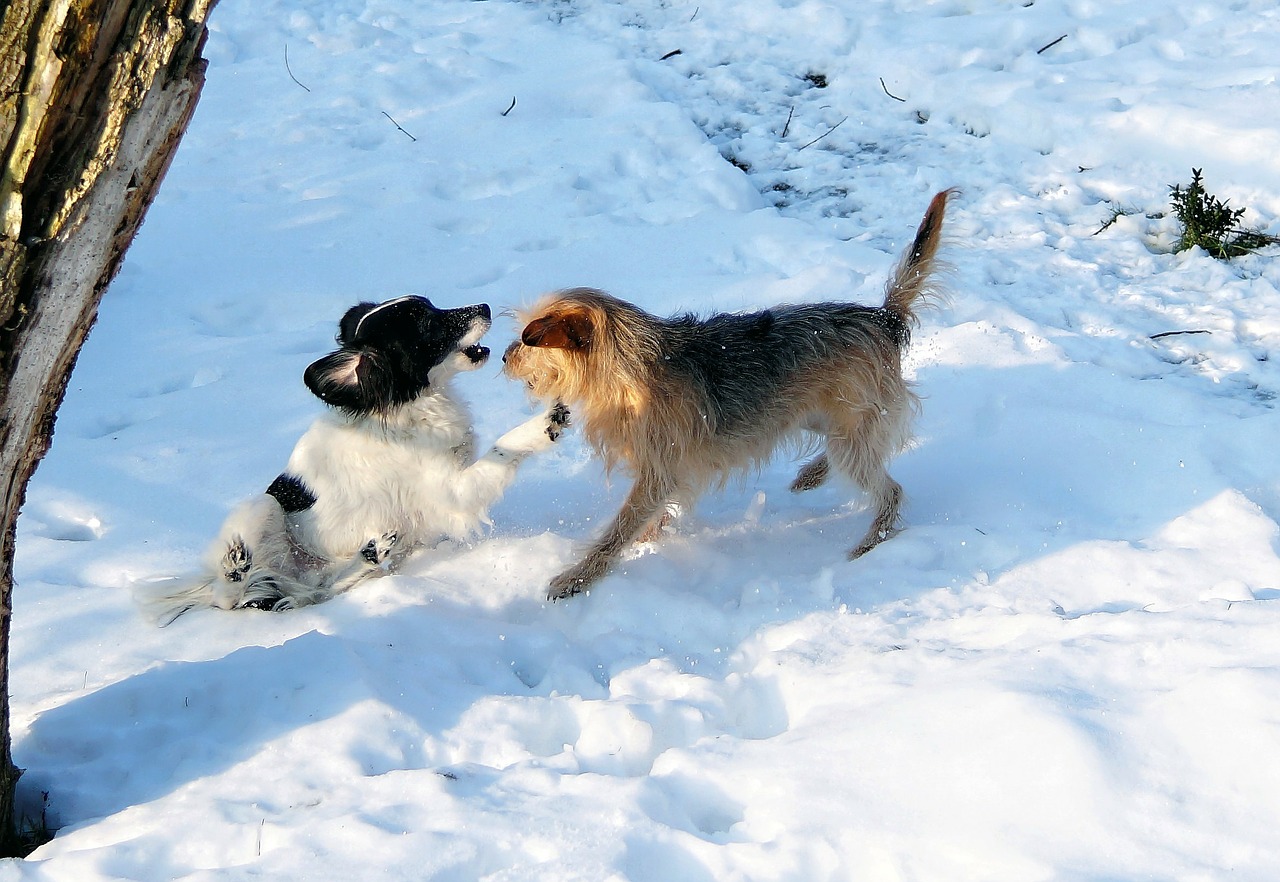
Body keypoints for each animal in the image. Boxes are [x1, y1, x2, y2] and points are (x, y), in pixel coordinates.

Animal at [147, 291, 568, 622]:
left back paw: (369, 554)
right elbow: (505, 446)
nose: (484, 306)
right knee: (228, 599)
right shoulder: (455, 491)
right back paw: (235, 568)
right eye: (427, 325)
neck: (407, 409)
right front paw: (546, 422)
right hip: (262, 506)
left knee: (322, 590)